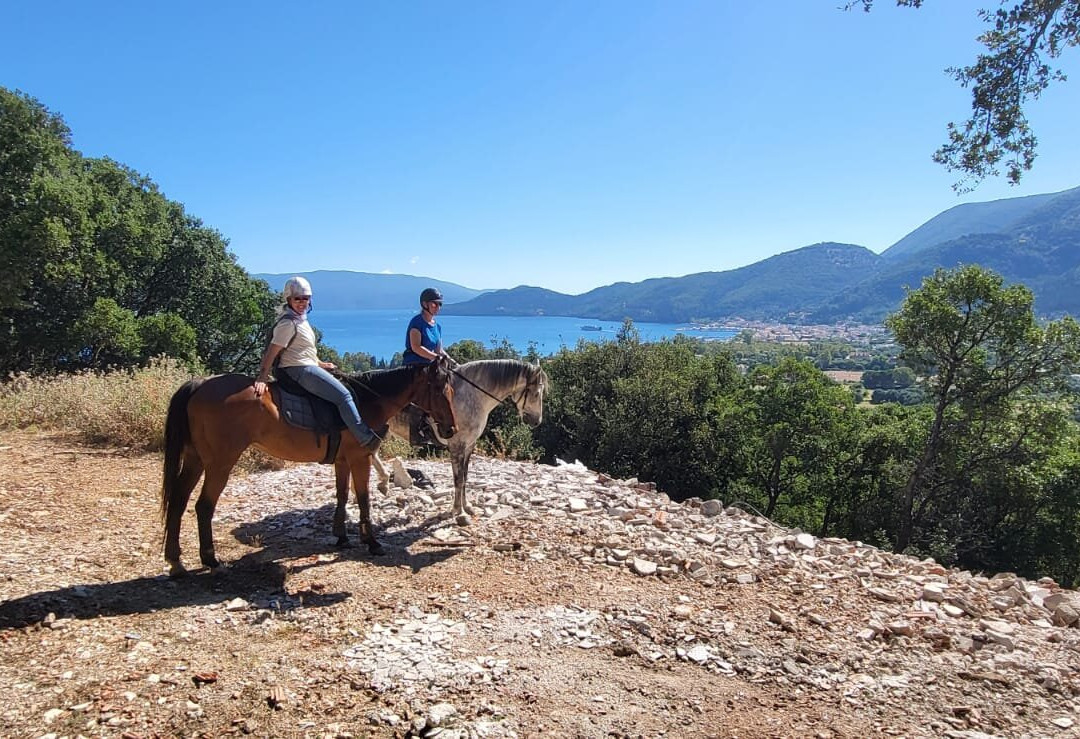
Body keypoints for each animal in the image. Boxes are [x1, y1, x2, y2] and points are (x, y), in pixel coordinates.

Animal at [159, 361, 457, 577]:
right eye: (439, 391)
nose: (450, 429)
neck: (363, 402)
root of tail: (200, 384)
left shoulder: (342, 460)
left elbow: (342, 495)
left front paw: (342, 536)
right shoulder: (359, 458)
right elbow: (363, 498)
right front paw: (371, 542)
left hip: (196, 458)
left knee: (178, 500)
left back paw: (176, 561)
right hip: (220, 462)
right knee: (203, 506)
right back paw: (210, 558)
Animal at [368, 359, 548, 522]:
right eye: (536, 393)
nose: (536, 421)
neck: (472, 396)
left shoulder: (469, 445)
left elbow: (465, 477)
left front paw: (467, 507)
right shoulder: (456, 445)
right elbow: (458, 478)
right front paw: (458, 510)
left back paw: (383, 483)